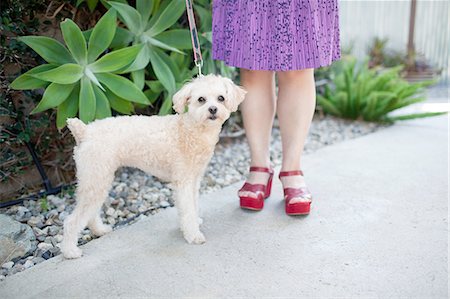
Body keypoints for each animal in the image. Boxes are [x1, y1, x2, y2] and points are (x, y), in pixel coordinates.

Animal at [60, 74, 246, 258]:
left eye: (221, 98)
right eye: (201, 99)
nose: (213, 109)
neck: (191, 129)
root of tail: (84, 131)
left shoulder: (194, 180)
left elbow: (193, 205)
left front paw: (195, 221)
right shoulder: (183, 182)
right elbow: (187, 209)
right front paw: (193, 234)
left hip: (98, 179)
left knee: (90, 212)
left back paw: (99, 230)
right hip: (96, 178)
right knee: (71, 220)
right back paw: (70, 251)